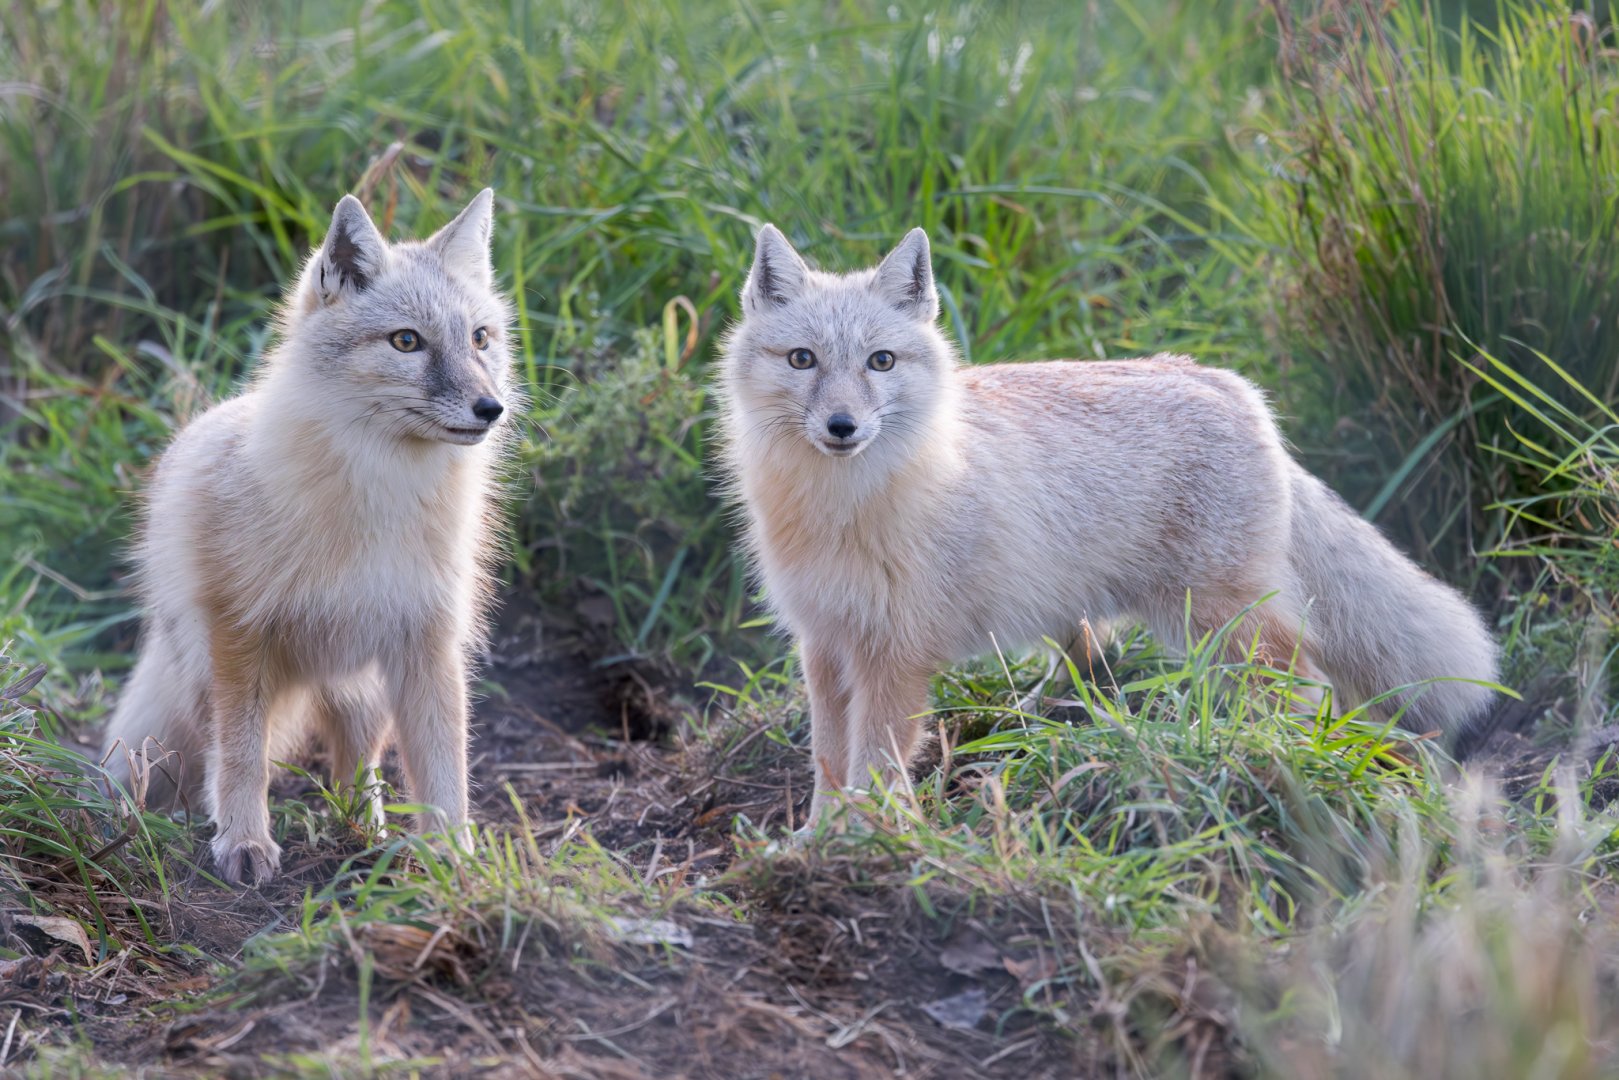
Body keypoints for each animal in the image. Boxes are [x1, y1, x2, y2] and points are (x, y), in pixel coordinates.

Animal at [101, 189, 516, 885]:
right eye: (407, 341)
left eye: (480, 338)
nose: (492, 408)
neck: (376, 503)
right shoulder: (239, 630)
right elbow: (242, 757)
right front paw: (244, 841)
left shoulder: (429, 639)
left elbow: (444, 769)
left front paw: (451, 859)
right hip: (202, 681)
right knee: (208, 754)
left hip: (363, 688)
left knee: (356, 769)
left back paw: (364, 835)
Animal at [717, 224, 1499, 829]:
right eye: (802, 359)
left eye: (880, 361)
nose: (842, 426)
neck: (840, 512)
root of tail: (1225, 381)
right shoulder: (826, 642)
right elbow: (828, 759)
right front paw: (819, 837)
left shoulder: (894, 652)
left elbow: (875, 762)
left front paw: (868, 841)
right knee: (1094, 648)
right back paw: (1037, 717)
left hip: (1217, 617)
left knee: (1302, 682)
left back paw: (1261, 755)